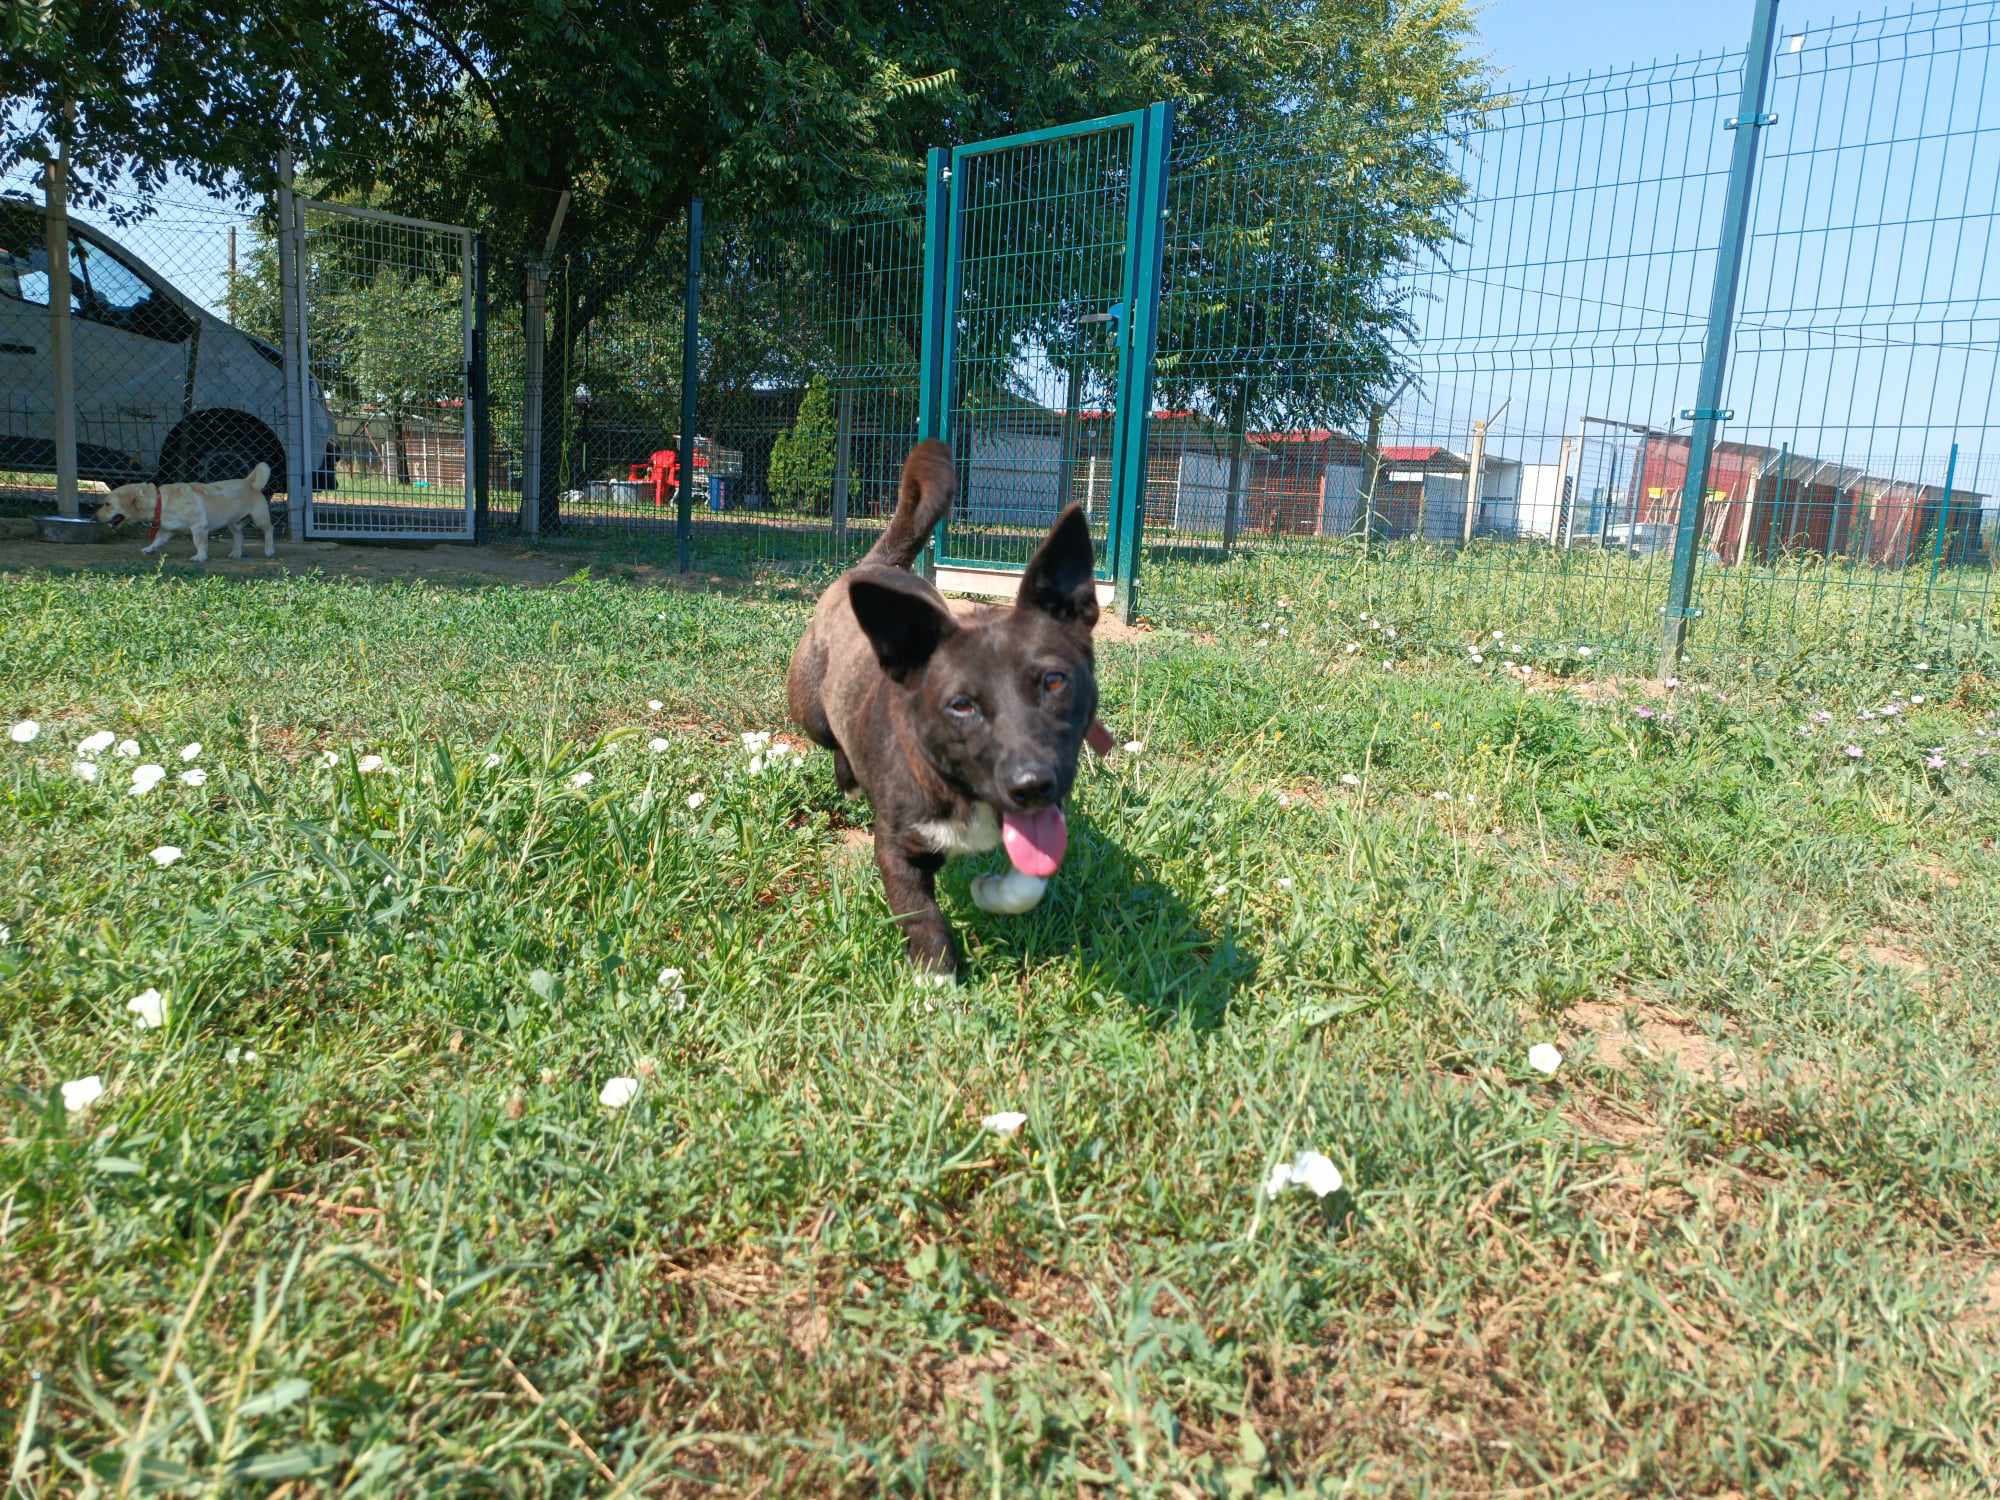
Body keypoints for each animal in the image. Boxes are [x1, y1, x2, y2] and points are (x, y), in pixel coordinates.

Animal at [96, 463, 278, 563]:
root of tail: (249, 482)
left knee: (269, 529)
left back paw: (269, 550)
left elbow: (200, 543)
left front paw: (200, 557)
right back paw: (236, 553)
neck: (160, 501)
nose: (95, 517)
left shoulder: (198, 527)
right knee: (239, 535)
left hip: (259, 518)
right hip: (232, 522)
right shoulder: (167, 530)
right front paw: (149, 549)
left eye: (107, 504)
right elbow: (157, 540)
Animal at [788, 440, 1102, 977]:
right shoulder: (898, 847)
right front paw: (934, 978)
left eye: (1054, 681)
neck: (964, 790)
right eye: (961, 705)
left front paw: (991, 891)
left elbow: (1030, 879)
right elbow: (920, 914)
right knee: (833, 742)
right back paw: (849, 781)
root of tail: (876, 565)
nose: (1031, 785)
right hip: (810, 710)